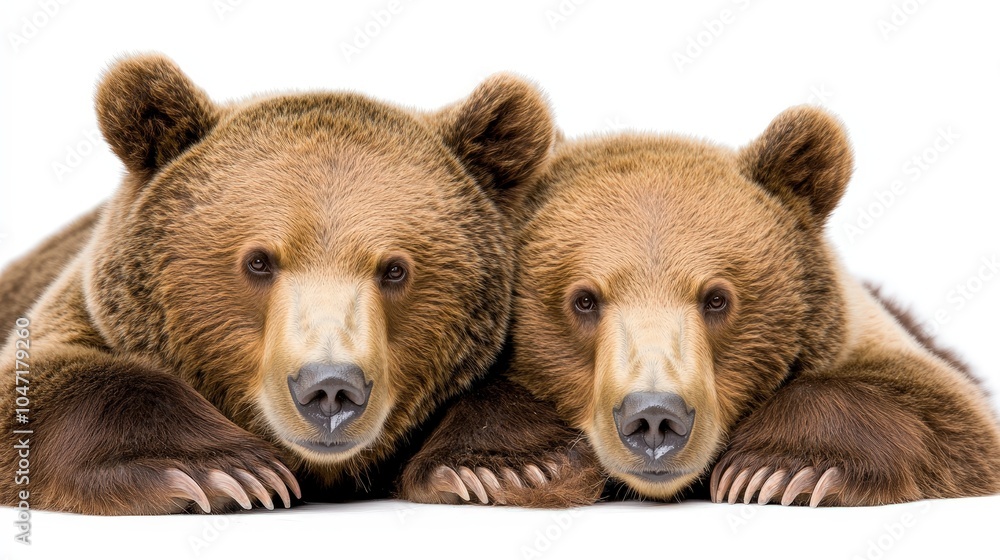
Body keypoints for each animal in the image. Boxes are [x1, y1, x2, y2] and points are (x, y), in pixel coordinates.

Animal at [0, 53, 558, 514]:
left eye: (395, 269)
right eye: (259, 262)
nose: (330, 388)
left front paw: (501, 468)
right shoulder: (86, 315)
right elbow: (41, 384)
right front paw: (224, 470)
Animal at [402, 105, 1000, 507]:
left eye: (717, 298)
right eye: (584, 300)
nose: (654, 417)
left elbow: (948, 413)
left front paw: (780, 469)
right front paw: (511, 468)